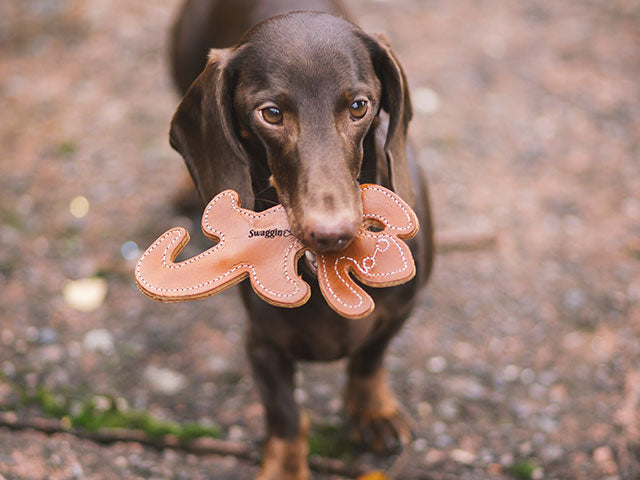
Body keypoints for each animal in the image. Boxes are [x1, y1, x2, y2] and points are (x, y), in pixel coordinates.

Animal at [169, 1, 436, 478]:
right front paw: (285, 468)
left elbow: (369, 360)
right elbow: (285, 415)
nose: (332, 235)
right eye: (271, 113)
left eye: (359, 106)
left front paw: (371, 411)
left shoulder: (399, 311)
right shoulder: (262, 345)